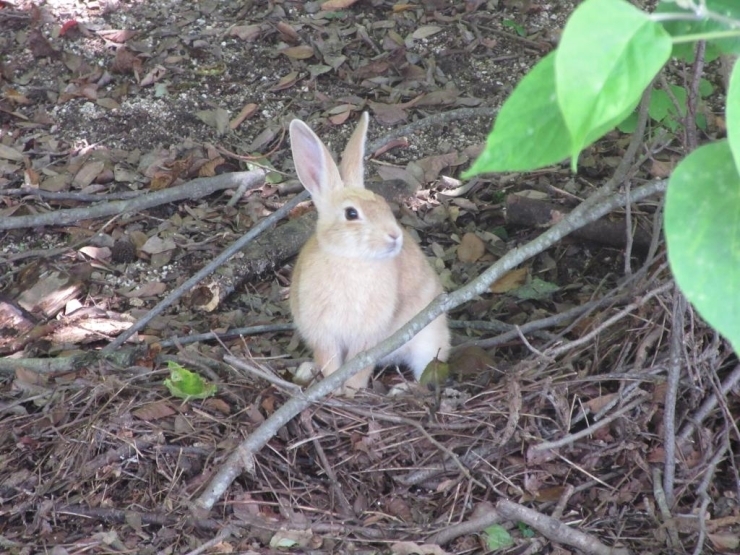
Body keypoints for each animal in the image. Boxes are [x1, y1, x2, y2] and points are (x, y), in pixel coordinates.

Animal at [290, 111, 450, 394]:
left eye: (383, 203)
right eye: (351, 214)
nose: (394, 236)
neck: (350, 260)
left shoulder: (367, 339)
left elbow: (359, 366)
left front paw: (350, 391)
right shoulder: (324, 335)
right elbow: (331, 364)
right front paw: (334, 390)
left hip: (428, 340)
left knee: (429, 377)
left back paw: (402, 390)